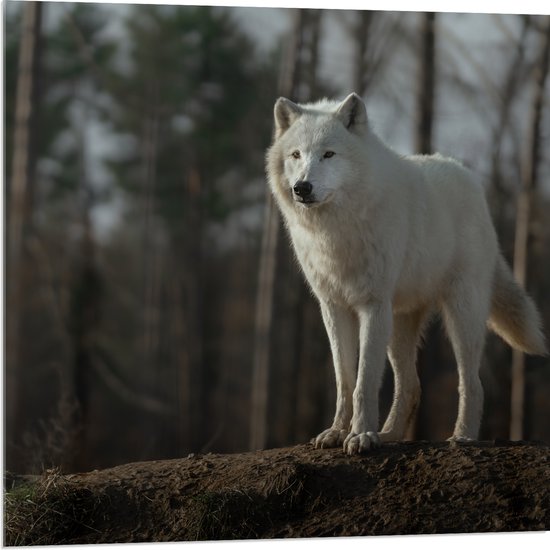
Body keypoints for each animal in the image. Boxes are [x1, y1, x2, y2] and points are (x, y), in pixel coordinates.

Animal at [266, 92, 548, 454]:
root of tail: (469, 177)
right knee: (411, 386)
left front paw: (360, 436)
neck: (337, 231)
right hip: (399, 325)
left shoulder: (373, 305)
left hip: (461, 316)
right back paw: (389, 435)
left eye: (328, 154)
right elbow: (345, 380)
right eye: (296, 155)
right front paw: (338, 432)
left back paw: (462, 435)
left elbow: (364, 381)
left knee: (472, 382)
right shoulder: (333, 307)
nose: (302, 187)